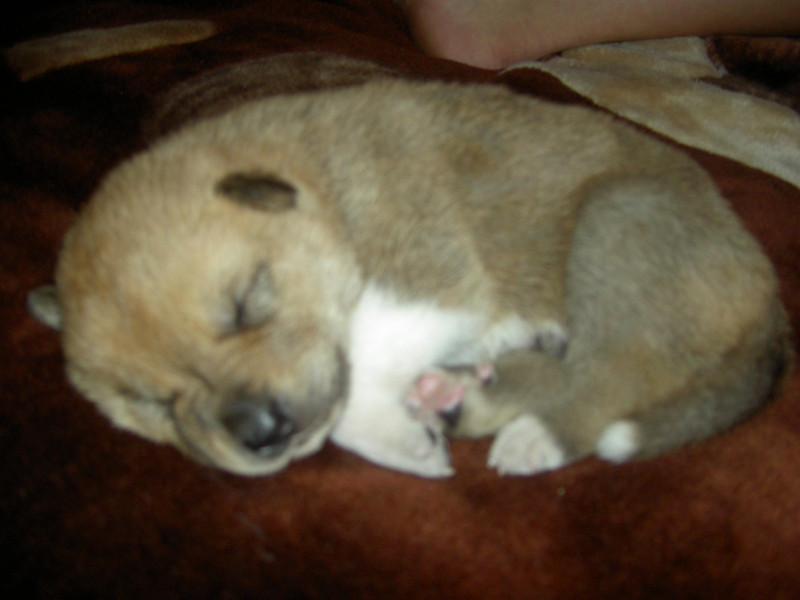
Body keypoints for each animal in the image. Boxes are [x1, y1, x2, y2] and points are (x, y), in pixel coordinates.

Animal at [29, 76, 790, 477]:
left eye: (246, 304)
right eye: (152, 402)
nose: (262, 432)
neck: (320, 183)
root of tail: (772, 306)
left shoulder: (426, 280)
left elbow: (358, 369)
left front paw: (397, 439)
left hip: (618, 222)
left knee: (614, 374)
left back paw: (533, 435)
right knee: (576, 366)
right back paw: (462, 398)